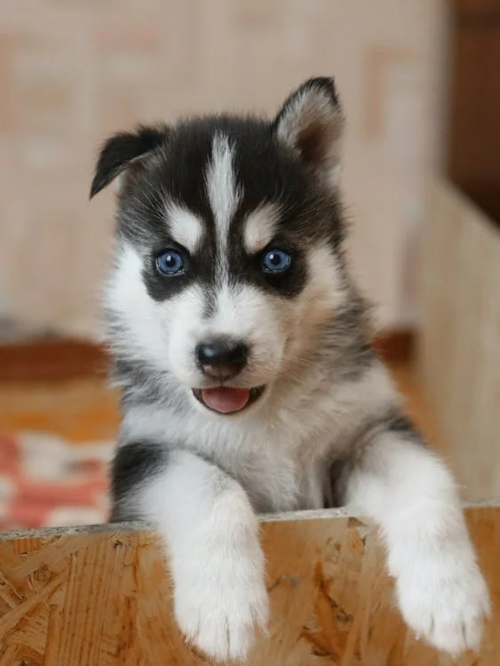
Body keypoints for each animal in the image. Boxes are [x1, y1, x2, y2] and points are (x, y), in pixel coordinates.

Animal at [90, 76, 488, 660]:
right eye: (170, 261)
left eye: (276, 259)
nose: (220, 353)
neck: (263, 418)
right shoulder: (147, 455)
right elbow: (213, 490)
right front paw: (225, 611)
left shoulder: (364, 434)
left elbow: (426, 479)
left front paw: (450, 599)